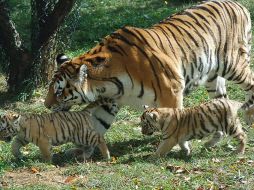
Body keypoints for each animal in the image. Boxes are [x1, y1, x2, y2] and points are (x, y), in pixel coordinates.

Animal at [44, 0, 253, 113]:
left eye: (59, 92)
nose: (46, 106)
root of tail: (238, 5)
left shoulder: (172, 89)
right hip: (212, 77)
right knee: (222, 100)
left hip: (233, 64)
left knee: (250, 82)